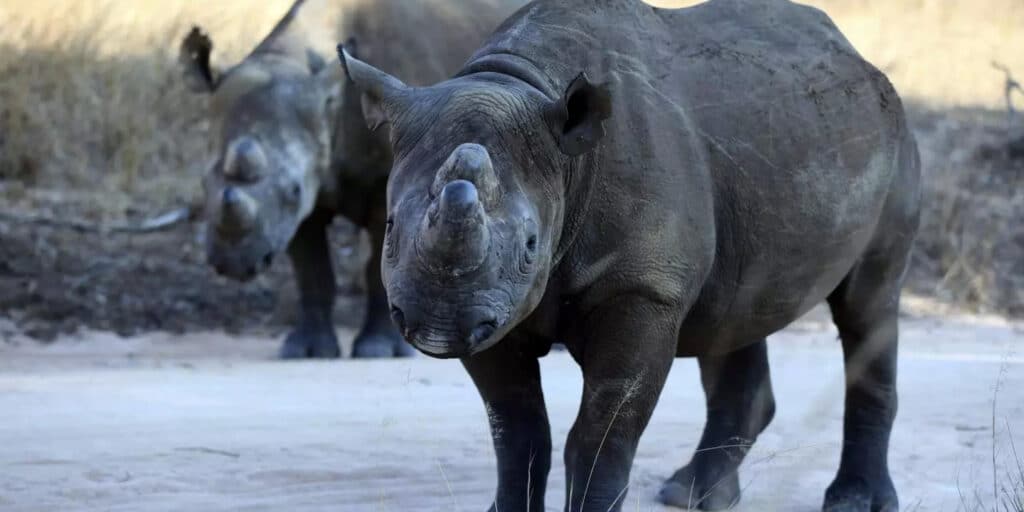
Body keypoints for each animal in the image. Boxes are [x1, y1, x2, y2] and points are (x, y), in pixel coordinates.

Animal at [179, 0, 522, 358]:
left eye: (293, 191)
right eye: (202, 185)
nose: (232, 263)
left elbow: (378, 268)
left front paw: (377, 350)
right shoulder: (311, 191)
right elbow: (311, 268)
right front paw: (305, 350)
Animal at [339, 0, 921, 510]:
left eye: (530, 247)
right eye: (389, 227)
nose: (436, 324)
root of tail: (858, 56)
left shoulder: (642, 289)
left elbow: (601, 435)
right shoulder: (490, 309)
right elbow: (517, 431)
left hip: (892, 140)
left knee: (868, 302)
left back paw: (852, 501)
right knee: (733, 316)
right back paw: (693, 495)